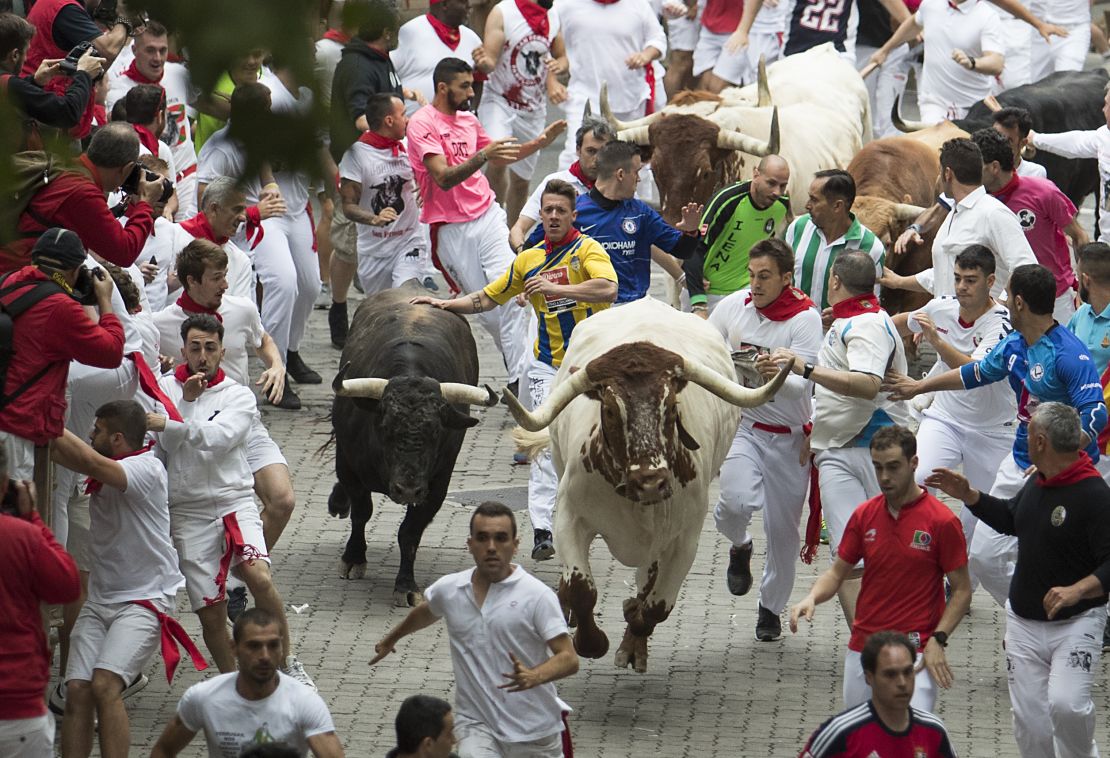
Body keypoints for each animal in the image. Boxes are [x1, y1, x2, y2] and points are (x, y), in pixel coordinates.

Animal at [324, 281, 492, 608]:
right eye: (386, 428)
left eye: (436, 433)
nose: (407, 490)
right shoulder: (349, 465)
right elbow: (361, 512)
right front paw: (353, 558)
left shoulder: (436, 485)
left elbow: (409, 533)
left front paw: (405, 585)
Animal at [503, 299, 790, 674]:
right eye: (610, 410)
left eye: (670, 407)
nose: (650, 481)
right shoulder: (570, 517)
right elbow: (580, 590)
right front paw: (592, 641)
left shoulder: (684, 539)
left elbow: (655, 606)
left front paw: (630, 634)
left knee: (647, 582)